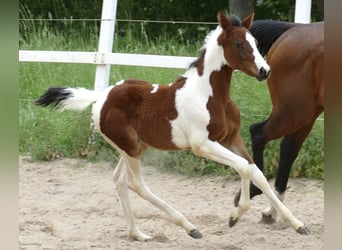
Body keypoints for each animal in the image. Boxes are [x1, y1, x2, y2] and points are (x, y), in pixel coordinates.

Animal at [34, 12, 310, 241]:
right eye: (239, 44)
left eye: (254, 41)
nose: (265, 71)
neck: (210, 95)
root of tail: (101, 96)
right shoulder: (203, 145)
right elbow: (243, 167)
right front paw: (235, 215)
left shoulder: (232, 138)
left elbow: (257, 173)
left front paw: (297, 224)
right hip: (130, 148)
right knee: (137, 184)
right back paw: (189, 227)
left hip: (135, 146)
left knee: (119, 180)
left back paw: (137, 234)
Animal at [235, 19, 324, 223]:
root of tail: (295, 28)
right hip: (295, 112)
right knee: (258, 133)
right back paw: (256, 190)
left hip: (307, 113)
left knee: (288, 149)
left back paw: (272, 210)